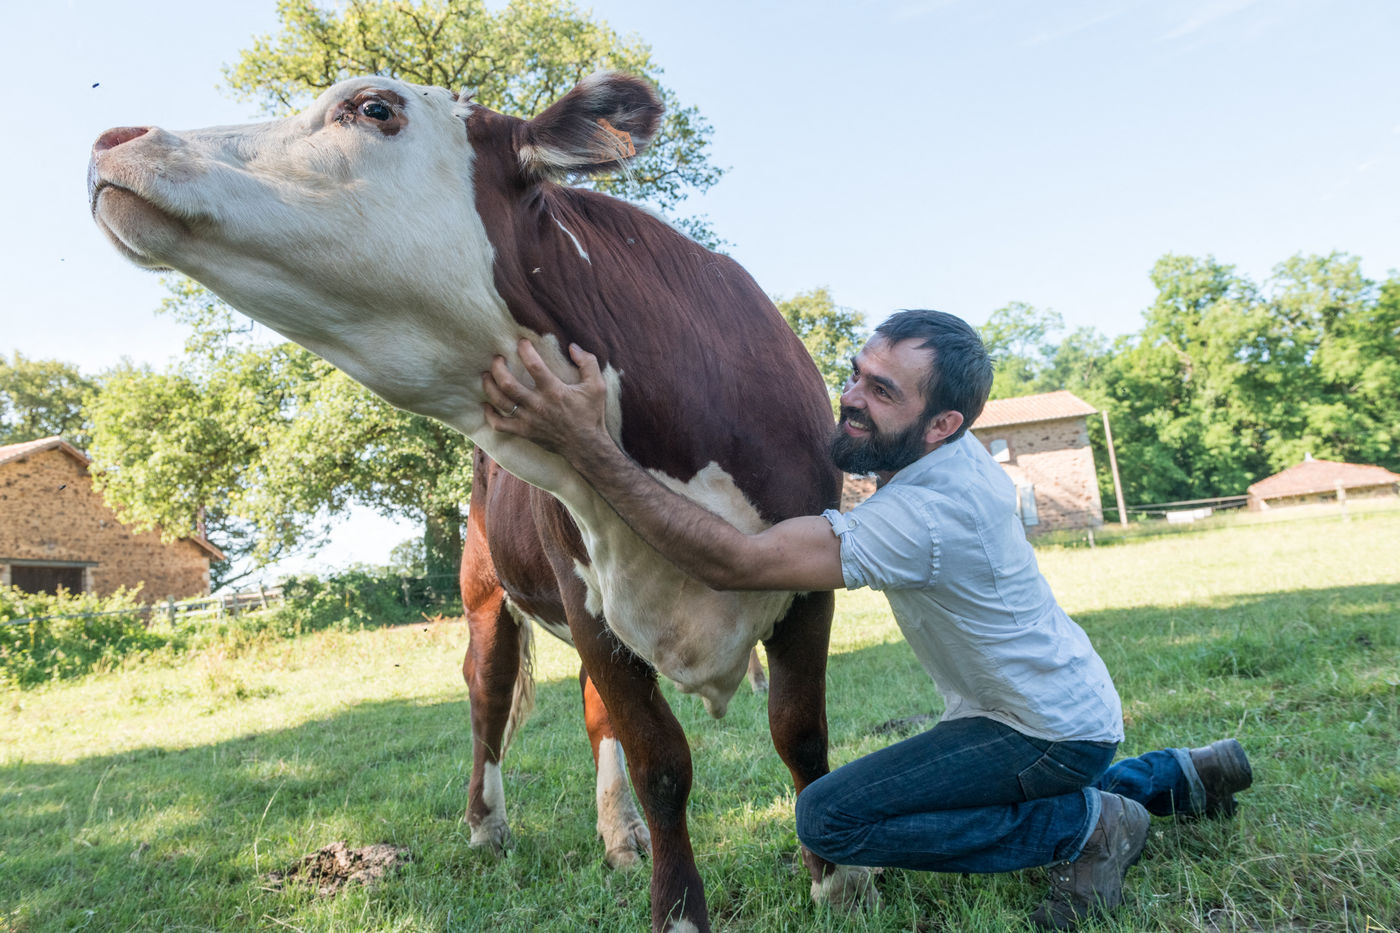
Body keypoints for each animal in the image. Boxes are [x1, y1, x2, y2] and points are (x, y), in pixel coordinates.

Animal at [89, 72, 874, 931]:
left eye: (374, 108)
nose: (114, 138)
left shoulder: (808, 581)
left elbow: (799, 732)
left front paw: (839, 881)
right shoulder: (589, 598)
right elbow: (661, 763)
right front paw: (679, 910)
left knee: (590, 711)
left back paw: (618, 835)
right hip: (485, 592)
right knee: (487, 697)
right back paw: (487, 824)